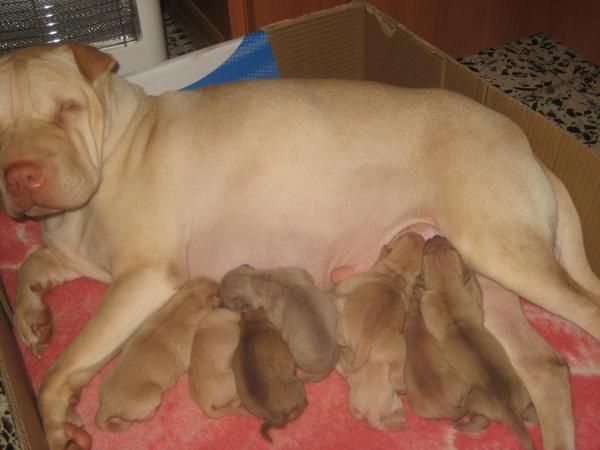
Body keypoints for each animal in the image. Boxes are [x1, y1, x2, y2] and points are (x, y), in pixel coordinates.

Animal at [418, 237, 536, 448]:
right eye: (429, 250)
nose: (435, 237)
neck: (446, 288)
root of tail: (509, 409)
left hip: (476, 400)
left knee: (483, 420)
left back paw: (462, 426)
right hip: (516, 394)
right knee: (518, 414)